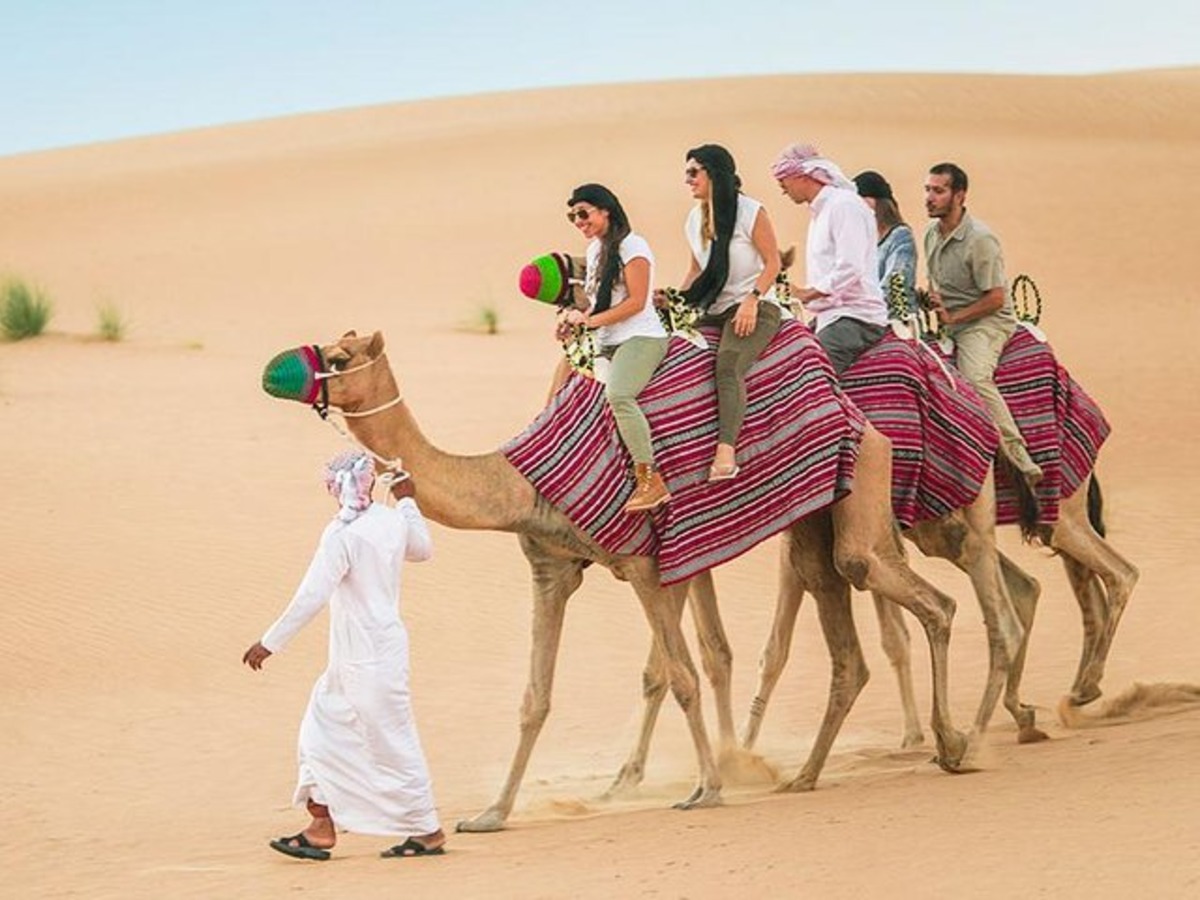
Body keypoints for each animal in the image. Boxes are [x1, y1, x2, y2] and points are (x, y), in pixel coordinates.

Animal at [261, 329, 973, 831]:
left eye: (340, 354)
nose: (276, 370)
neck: (516, 480)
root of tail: (851, 404)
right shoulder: (550, 569)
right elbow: (535, 697)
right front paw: (491, 814)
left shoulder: (644, 565)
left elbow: (680, 675)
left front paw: (708, 789)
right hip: (812, 521)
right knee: (849, 632)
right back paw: (808, 775)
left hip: (863, 483)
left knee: (920, 596)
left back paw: (952, 742)